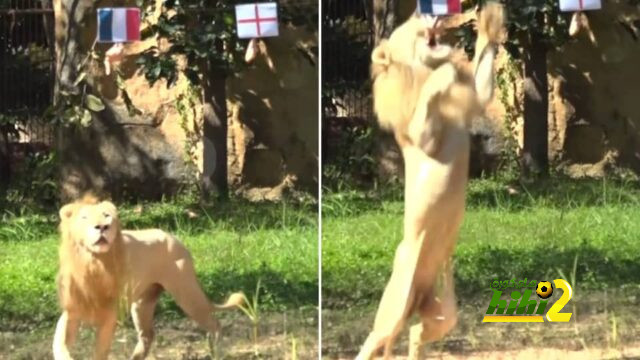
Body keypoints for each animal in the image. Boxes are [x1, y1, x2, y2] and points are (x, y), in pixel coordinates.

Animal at [53, 195, 244, 358]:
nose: (102, 227)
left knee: (215, 324)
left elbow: (100, 351)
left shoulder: (110, 315)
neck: (93, 262)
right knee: (148, 334)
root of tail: (173, 237)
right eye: (84, 218)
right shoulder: (71, 311)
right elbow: (59, 344)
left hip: (188, 295)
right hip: (142, 304)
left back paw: (217, 352)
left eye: (107, 216)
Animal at [358, 3, 502, 360]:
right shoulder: (421, 137)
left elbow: (480, 79)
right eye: (409, 26)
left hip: (444, 314)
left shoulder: (476, 100)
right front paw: (446, 71)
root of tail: (417, 297)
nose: (422, 14)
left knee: (415, 331)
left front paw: (489, 24)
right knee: (375, 338)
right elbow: (436, 84)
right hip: (394, 305)